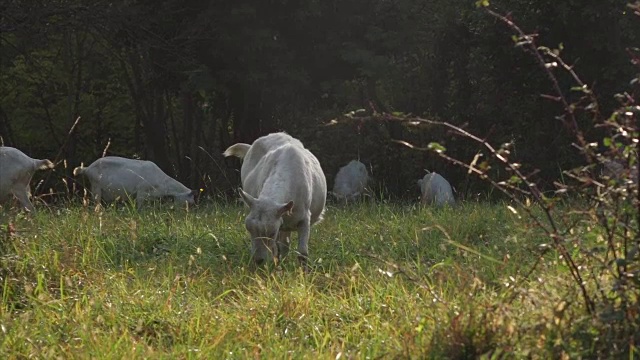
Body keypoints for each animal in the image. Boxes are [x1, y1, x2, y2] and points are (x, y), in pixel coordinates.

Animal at [224, 132, 324, 264]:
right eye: (249, 229)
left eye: (271, 233)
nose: (258, 260)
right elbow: (278, 249)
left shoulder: (304, 219)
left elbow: (302, 253)